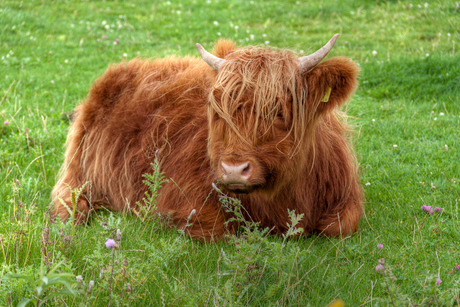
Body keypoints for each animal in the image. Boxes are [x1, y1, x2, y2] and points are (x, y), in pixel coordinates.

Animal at [53, 33, 362, 241]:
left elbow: (340, 225)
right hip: (79, 170)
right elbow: (218, 230)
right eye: (220, 112)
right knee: (67, 199)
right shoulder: (186, 199)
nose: (234, 170)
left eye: (278, 111)